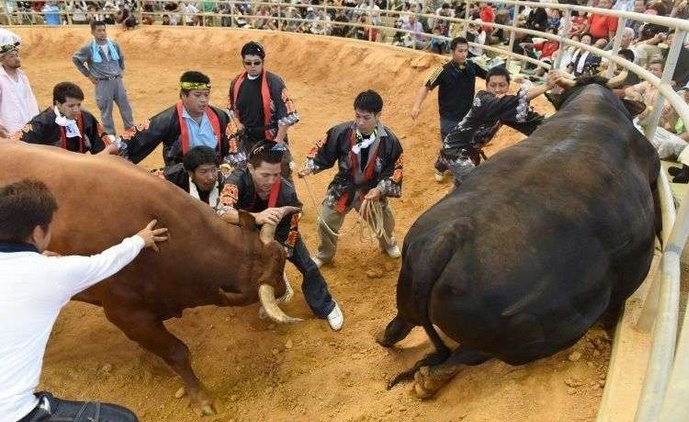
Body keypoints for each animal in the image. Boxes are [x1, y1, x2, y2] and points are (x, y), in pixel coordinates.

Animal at [0, 141, 296, 416]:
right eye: (272, 279)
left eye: (282, 258)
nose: (284, 290)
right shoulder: (126, 314)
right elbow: (178, 352)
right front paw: (201, 398)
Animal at [376, 80, 660, 398]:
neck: (593, 109)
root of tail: (448, 238)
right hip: (522, 339)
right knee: (461, 358)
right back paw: (430, 381)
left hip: (409, 289)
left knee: (399, 325)